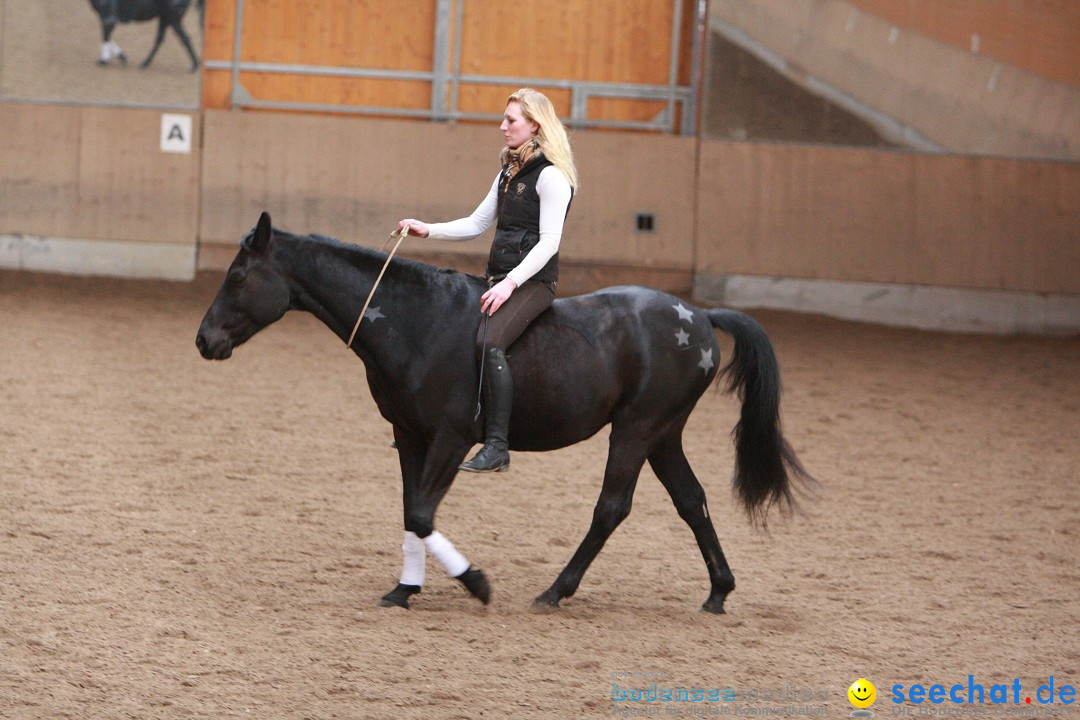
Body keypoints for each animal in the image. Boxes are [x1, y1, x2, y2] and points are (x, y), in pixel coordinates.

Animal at [198, 212, 812, 613]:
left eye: (238, 277)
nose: (204, 341)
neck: (412, 319)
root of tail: (700, 317)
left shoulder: (450, 439)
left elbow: (422, 513)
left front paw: (476, 583)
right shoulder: (411, 435)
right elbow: (410, 512)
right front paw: (405, 589)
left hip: (637, 430)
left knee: (612, 508)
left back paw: (556, 591)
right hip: (663, 435)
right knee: (692, 501)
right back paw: (718, 592)